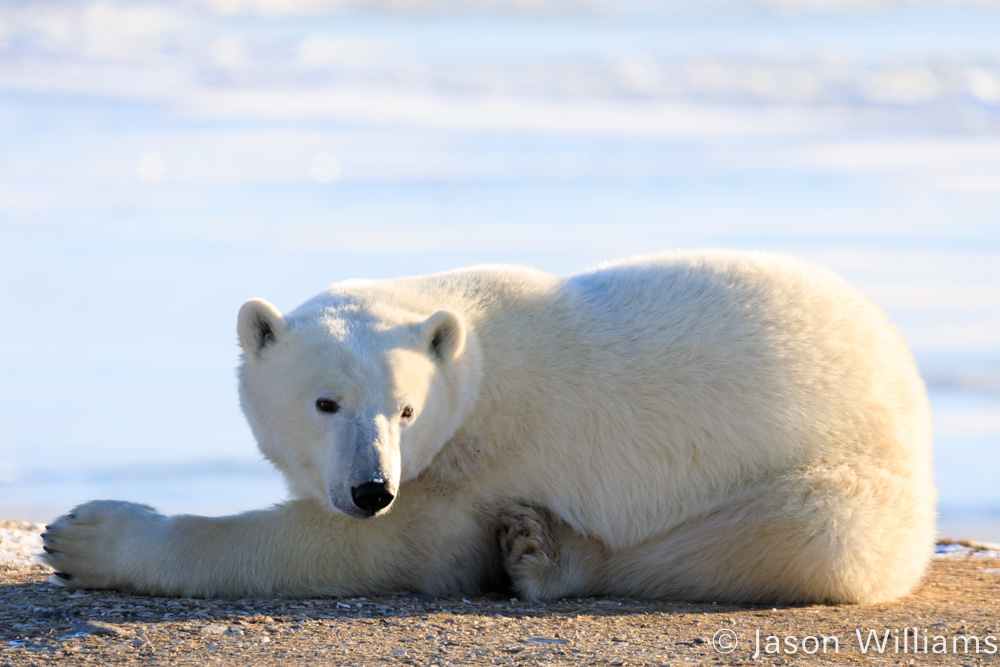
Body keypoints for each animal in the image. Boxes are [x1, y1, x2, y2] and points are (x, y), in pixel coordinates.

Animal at [39, 250, 932, 604]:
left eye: (405, 408)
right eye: (326, 402)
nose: (371, 487)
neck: (476, 346)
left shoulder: (480, 454)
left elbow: (388, 547)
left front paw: (87, 535)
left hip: (857, 463)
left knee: (799, 533)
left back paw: (545, 554)